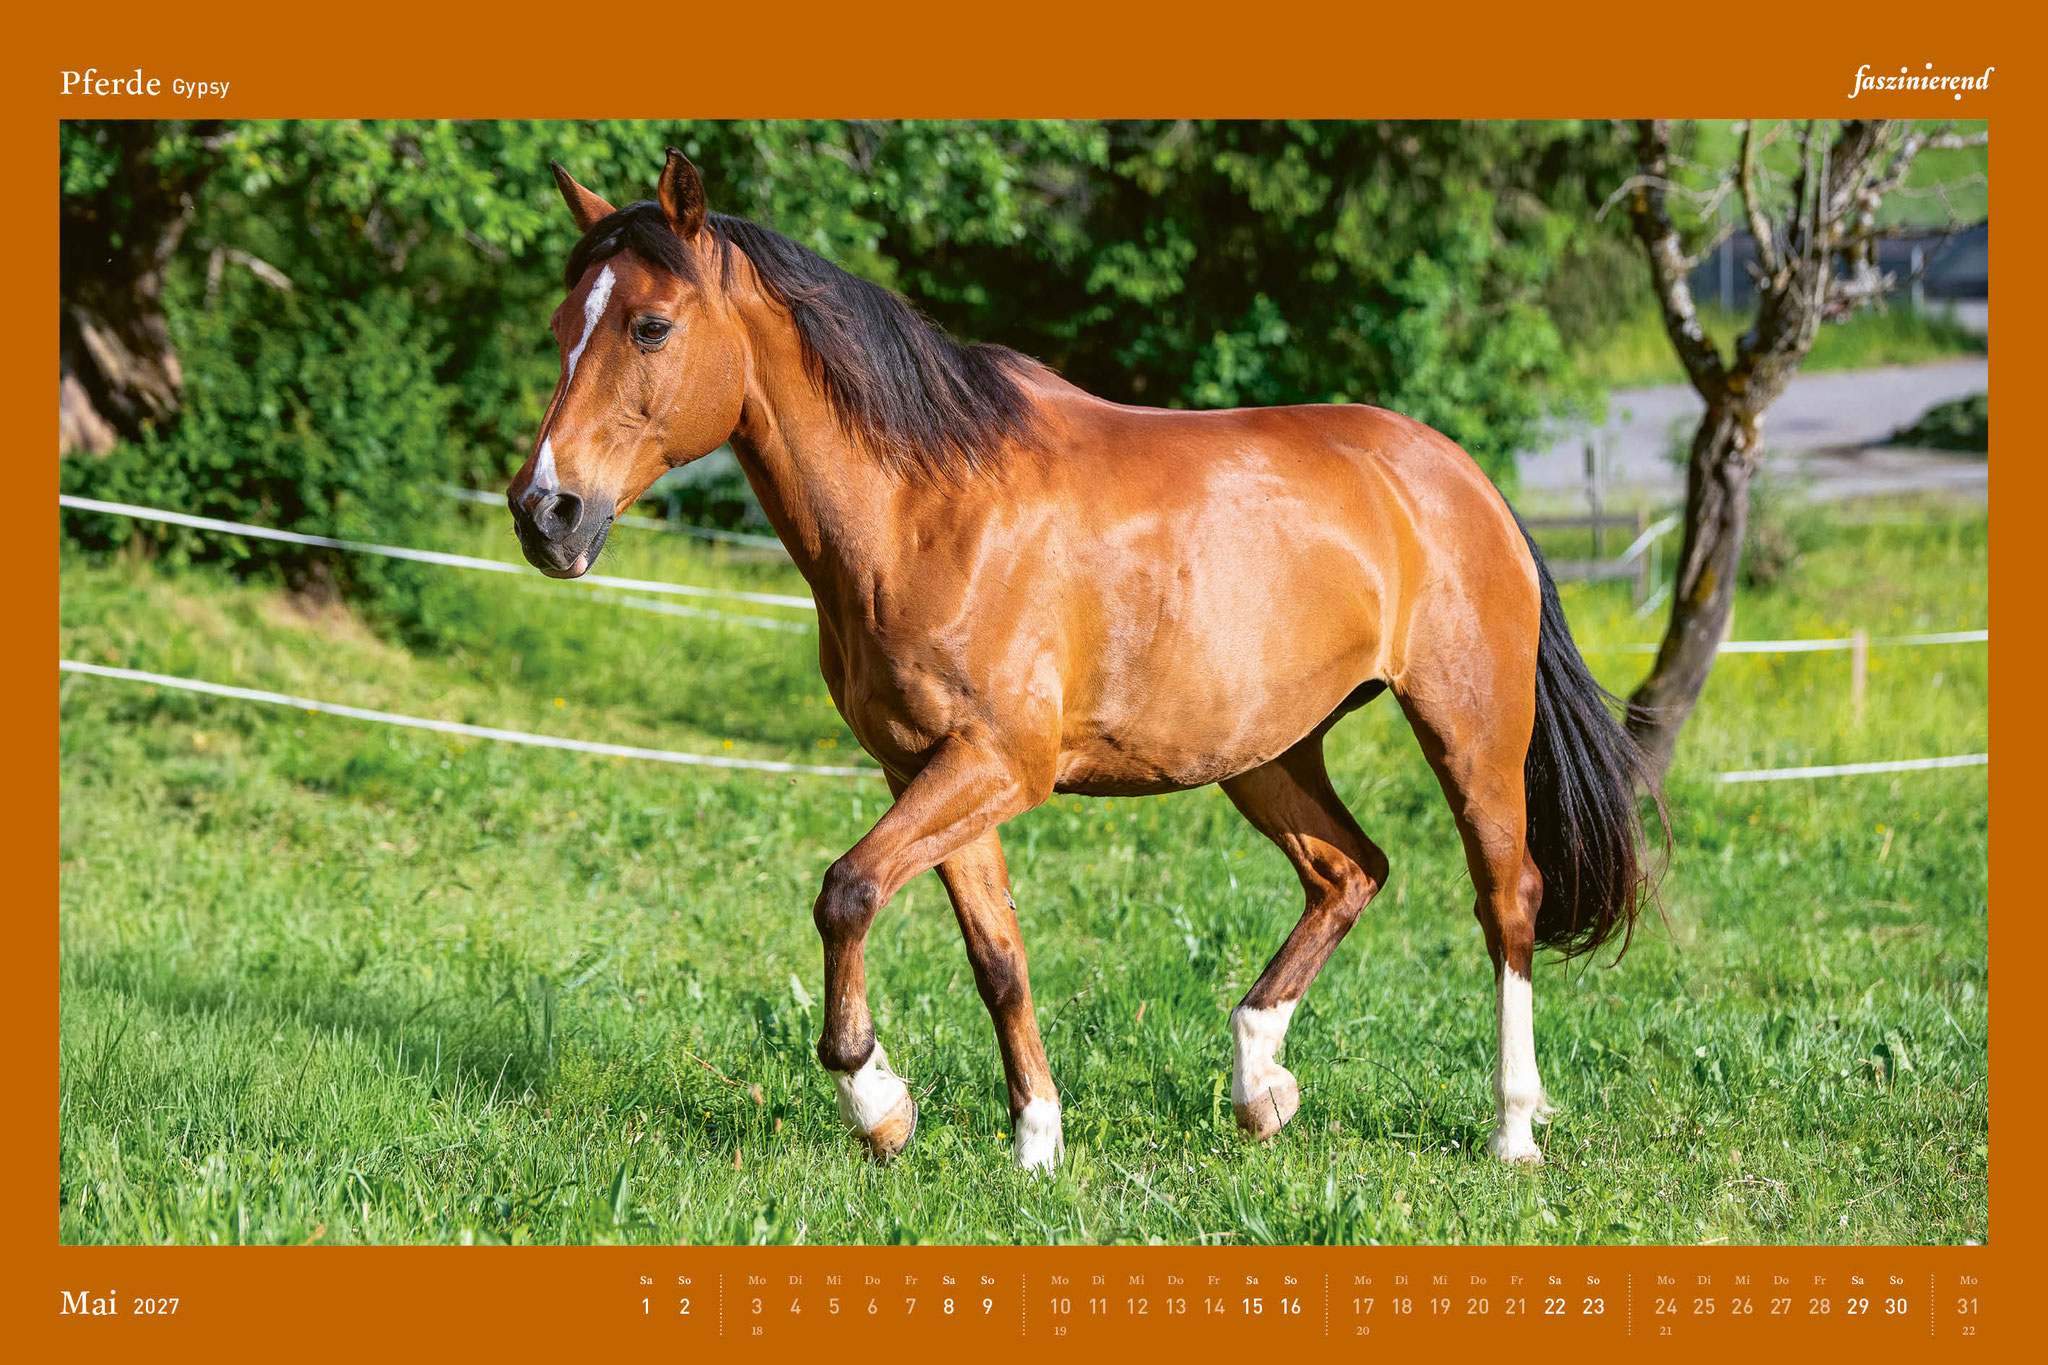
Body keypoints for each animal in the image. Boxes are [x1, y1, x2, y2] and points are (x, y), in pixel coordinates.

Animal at [507, 149, 1660, 1172]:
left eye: (651, 325)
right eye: (561, 328)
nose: (544, 513)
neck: (929, 509)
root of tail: (1459, 477)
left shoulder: (996, 766)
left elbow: (847, 891)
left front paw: (877, 1101)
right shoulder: (923, 768)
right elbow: (996, 958)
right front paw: (1034, 1143)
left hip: (1470, 730)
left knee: (1506, 897)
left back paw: (1511, 1131)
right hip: (1267, 752)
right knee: (1349, 871)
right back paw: (1260, 1086)